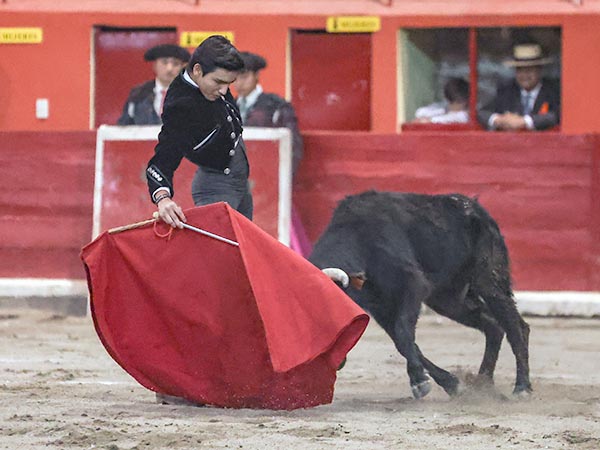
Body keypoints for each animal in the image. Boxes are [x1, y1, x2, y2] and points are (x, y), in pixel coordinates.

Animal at [310, 192, 528, 400]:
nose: (337, 361)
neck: (358, 236)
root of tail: (476, 208)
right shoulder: (381, 309)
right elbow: (406, 343)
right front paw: (452, 385)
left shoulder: (413, 285)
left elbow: (403, 333)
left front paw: (419, 382)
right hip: (447, 300)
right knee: (493, 326)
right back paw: (483, 384)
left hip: (489, 280)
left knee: (516, 327)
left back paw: (522, 388)